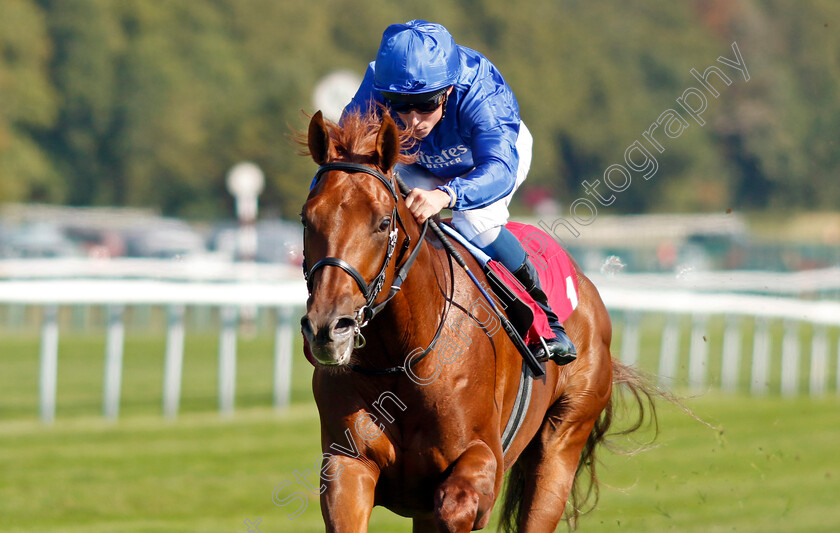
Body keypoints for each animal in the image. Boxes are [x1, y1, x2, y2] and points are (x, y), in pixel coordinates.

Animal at [298, 110, 652, 528]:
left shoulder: (482, 461)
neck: (401, 357)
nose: (327, 328)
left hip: (563, 441)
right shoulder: (348, 465)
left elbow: (456, 503)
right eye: (306, 219)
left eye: (383, 223)